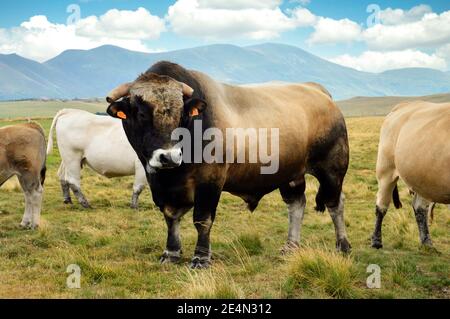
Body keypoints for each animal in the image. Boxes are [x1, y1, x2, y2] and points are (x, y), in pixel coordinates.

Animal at [372, 101, 450, 249]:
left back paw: (427, 242)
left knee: (419, 208)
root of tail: (404, 104)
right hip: (386, 170)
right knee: (381, 206)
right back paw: (376, 241)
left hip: (423, 179)